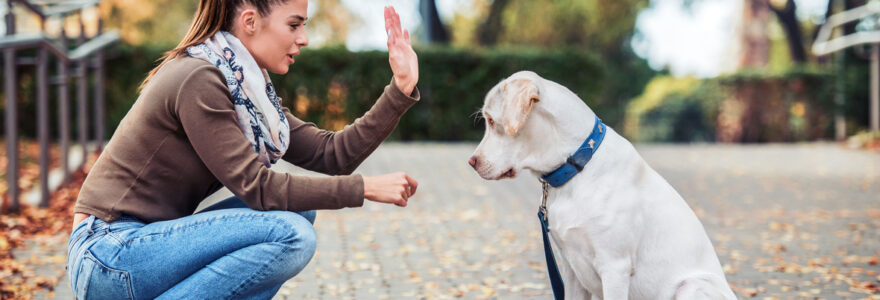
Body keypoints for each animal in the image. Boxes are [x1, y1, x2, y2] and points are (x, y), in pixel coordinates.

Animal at [468, 71, 736, 298]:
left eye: (491, 121)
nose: (472, 162)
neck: (576, 169)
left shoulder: (615, 267)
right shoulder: (571, 267)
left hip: (692, 286)